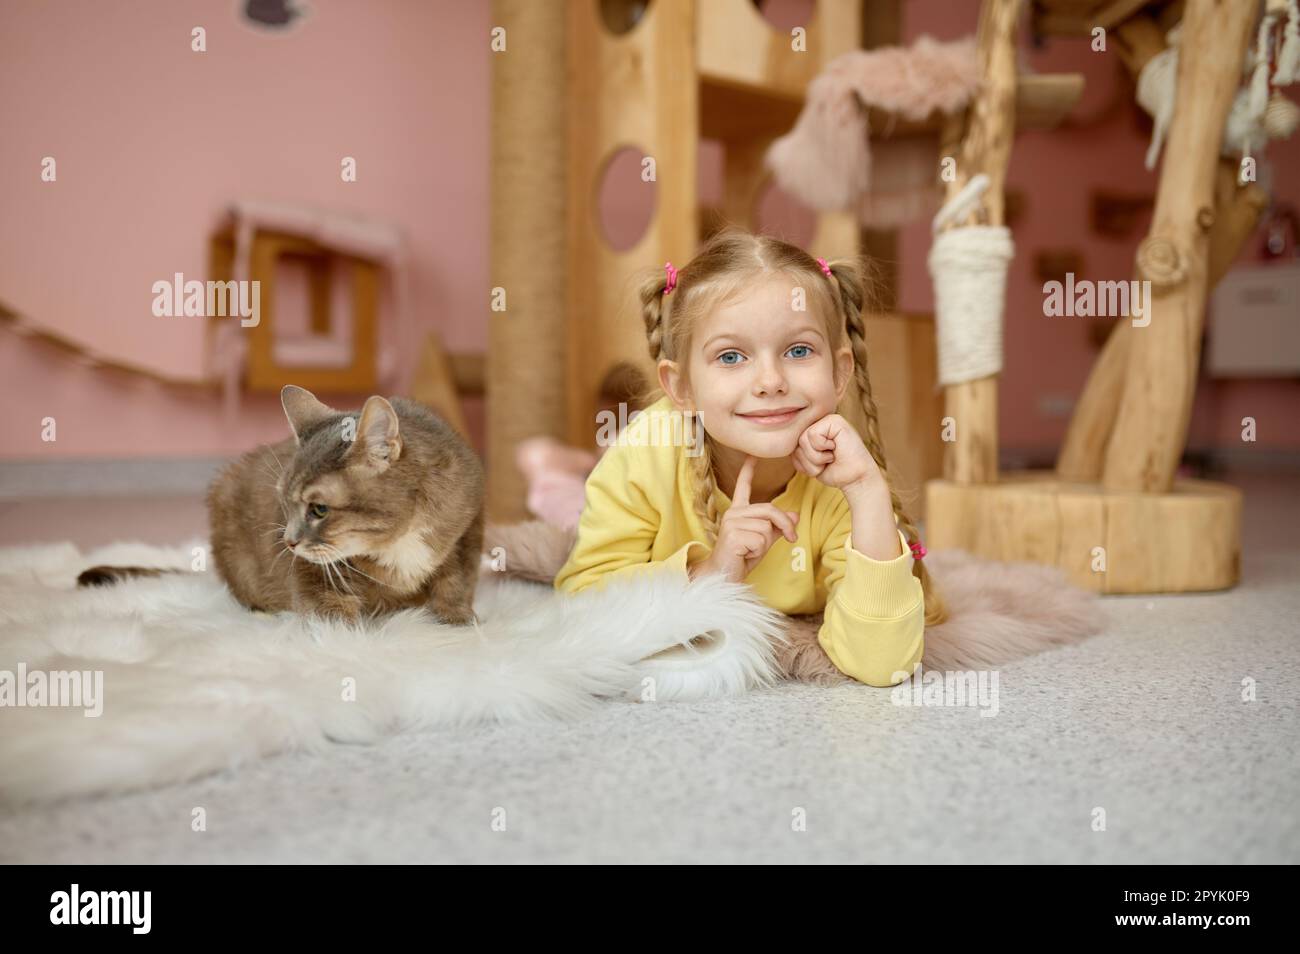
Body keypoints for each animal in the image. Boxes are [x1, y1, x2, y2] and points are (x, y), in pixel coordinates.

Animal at [81, 384, 488, 631]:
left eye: (319, 509)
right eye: (284, 504)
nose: (288, 541)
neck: (396, 540)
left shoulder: (467, 528)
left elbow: (456, 581)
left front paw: (458, 621)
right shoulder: (313, 572)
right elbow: (328, 609)